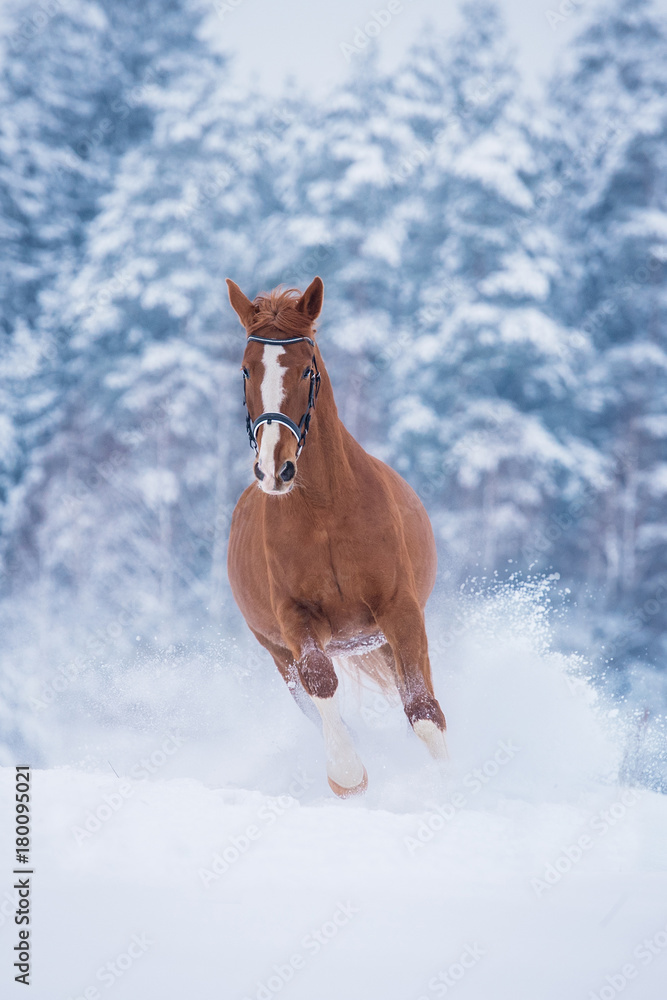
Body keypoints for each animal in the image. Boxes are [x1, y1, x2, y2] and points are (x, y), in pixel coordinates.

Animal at [226, 276, 447, 797]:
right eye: (245, 371)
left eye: (307, 371)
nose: (275, 470)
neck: (326, 513)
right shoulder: (295, 621)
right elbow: (322, 682)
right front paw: (348, 776)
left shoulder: (400, 610)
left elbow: (424, 711)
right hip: (277, 654)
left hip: (382, 639)